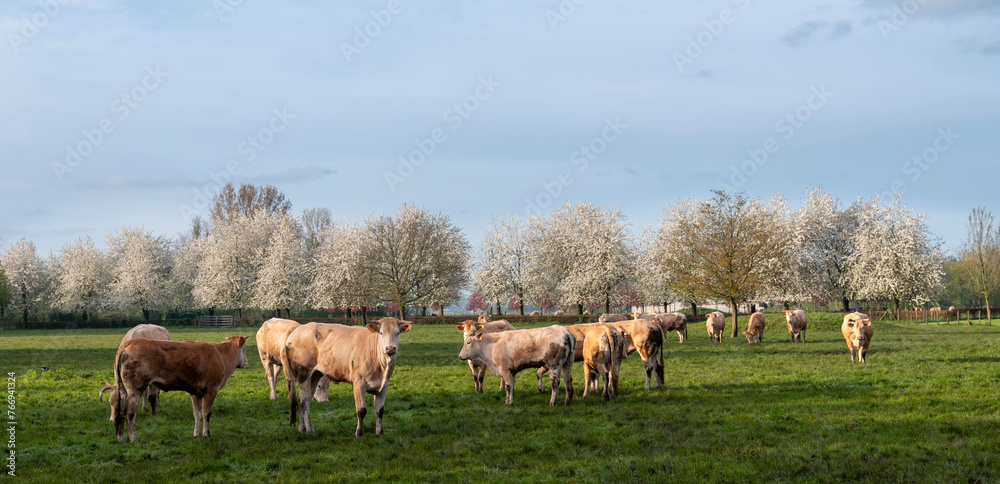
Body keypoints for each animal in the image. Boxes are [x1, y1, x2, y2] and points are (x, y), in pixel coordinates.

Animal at [114, 336, 248, 442]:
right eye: (245, 349)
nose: (246, 361)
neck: (220, 355)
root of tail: (133, 341)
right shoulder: (211, 391)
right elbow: (206, 414)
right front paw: (207, 435)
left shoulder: (195, 393)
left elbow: (197, 414)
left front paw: (196, 434)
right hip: (135, 390)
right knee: (130, 413)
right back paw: (133, 438)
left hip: (123, 390)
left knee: (120, 412)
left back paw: (121, 438)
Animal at [283, 317, 412, 437]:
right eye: (381, 333)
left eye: (397, 333)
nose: (390, 348)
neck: (381, 366)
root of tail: (298, 328)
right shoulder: (359, 383)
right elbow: (361, 410)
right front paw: (359, 433)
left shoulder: (384, 385)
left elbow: (380, 410)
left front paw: (379, 433)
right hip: (303, 374)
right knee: (304, 401)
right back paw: (309, 430)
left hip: (315, 375)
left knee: (306, 400)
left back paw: (302, 428)